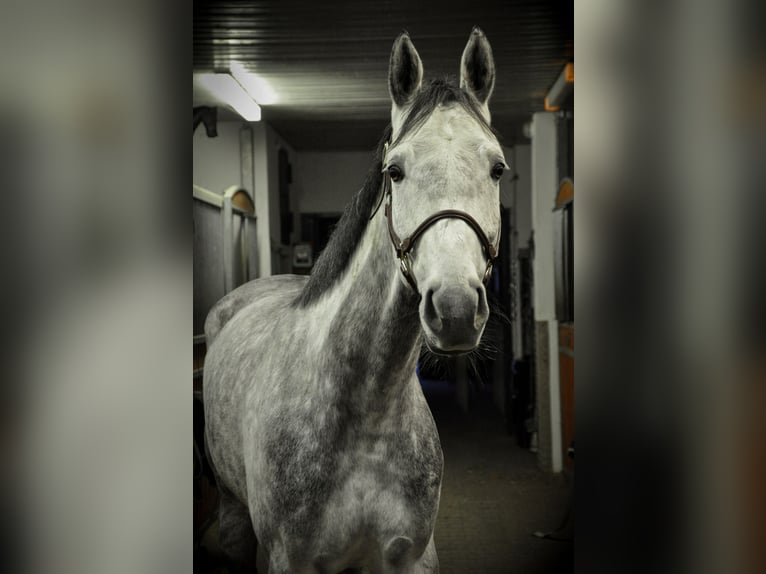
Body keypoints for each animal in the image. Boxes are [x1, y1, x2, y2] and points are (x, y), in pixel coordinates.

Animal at [203, 28, 506, 574]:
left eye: (497, 168)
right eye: (395, 171)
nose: (454, 309)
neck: (368, 418)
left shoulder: (411, 557)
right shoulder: (287, 559)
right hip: (234, 520)